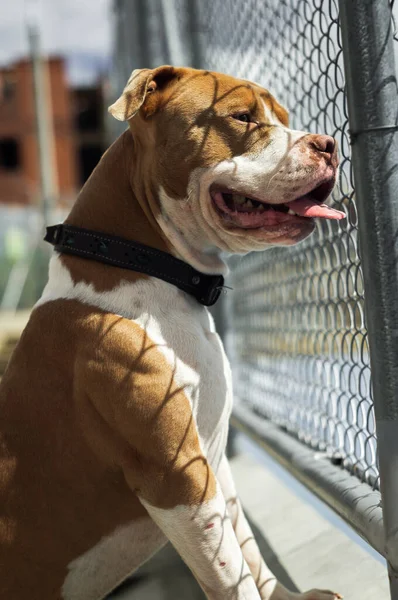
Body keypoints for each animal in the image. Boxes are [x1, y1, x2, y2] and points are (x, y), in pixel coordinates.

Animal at [0, 65, 342, 600]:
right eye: (241, 117)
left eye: (284, 118)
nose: (327, 144)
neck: (142, 265)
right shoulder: (178, 477)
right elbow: (230, 571)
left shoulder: (212, 460)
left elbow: (245, 542)